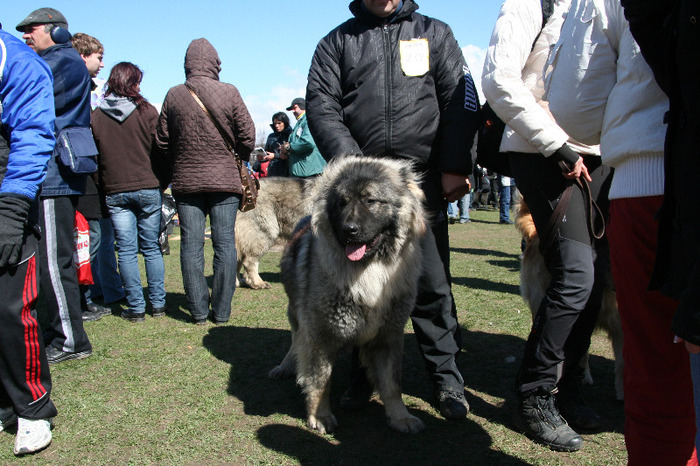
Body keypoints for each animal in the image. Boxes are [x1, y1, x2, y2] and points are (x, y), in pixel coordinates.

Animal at [270, 156, 426, 434]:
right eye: (341, 203)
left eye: (370, 200)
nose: (348, 229)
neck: (368, 270)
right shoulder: (319, 336)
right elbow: (321, 381)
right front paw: (320, 416)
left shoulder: (388, 336)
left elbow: (392, 384)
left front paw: (400, 417)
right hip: (297, 313)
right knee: (296, 340)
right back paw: (286, 366)